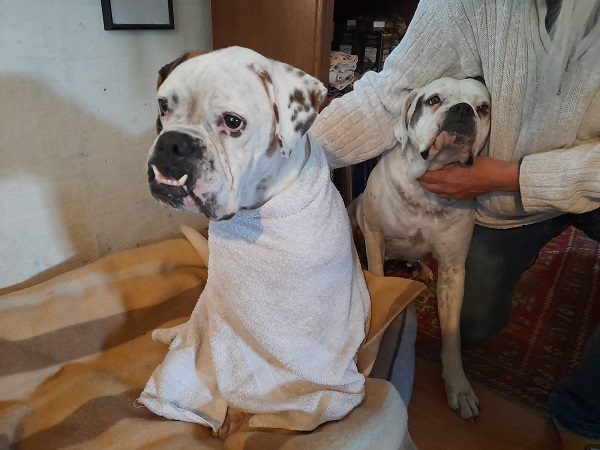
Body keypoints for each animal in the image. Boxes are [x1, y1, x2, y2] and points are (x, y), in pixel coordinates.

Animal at [349, 77, 491, 420]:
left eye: (483, 108)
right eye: (433, 100)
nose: (462, 110)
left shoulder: (453, 269)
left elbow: (452, 335)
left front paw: (458, 386)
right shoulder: (374, 236)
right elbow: (376, 273)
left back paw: (421, 269)